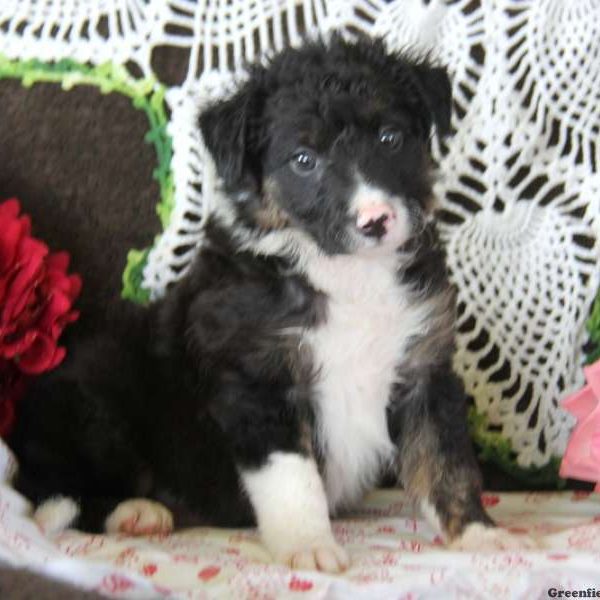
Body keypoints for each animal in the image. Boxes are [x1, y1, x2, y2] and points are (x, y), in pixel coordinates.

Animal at [8, 34, 536, 572]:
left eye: (390, 138)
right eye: (303, 159)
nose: (375, 220)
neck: (347, 273)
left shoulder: (424, 370)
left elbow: (446, 462)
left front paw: (478, 535)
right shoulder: (259, 379)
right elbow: (293, 477)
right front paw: (309, 546)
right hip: (96, 402)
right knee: (61, 495)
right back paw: (138, 512)